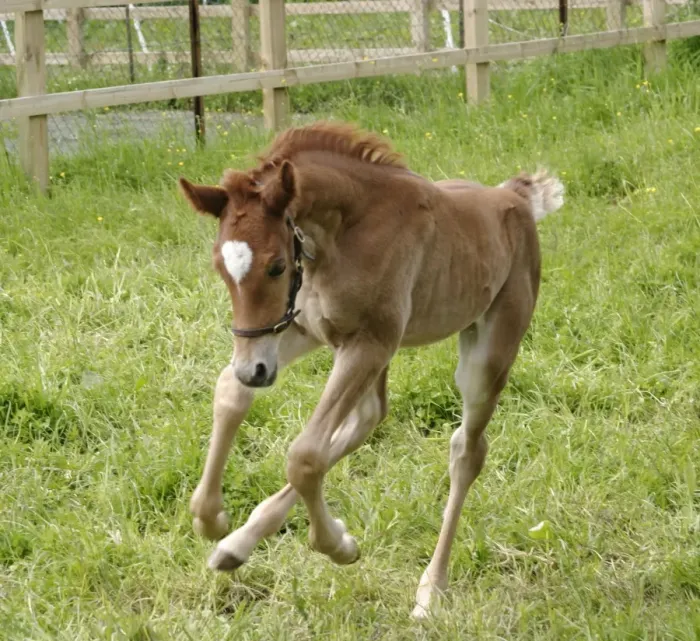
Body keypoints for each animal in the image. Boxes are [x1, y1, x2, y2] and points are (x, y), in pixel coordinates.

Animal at [179, 121, 564, 618]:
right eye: (221, 269)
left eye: (277, 266)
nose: (255, 371)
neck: (345, 232)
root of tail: (513, 196)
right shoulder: (302, 328)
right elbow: (232, 392)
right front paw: (211, 519)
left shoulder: (367, 343)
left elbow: (304, 455)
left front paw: (338, 547)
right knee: (367, 418)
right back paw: (236, 545)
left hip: (486, 354)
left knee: (466, 451)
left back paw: (431, 590)